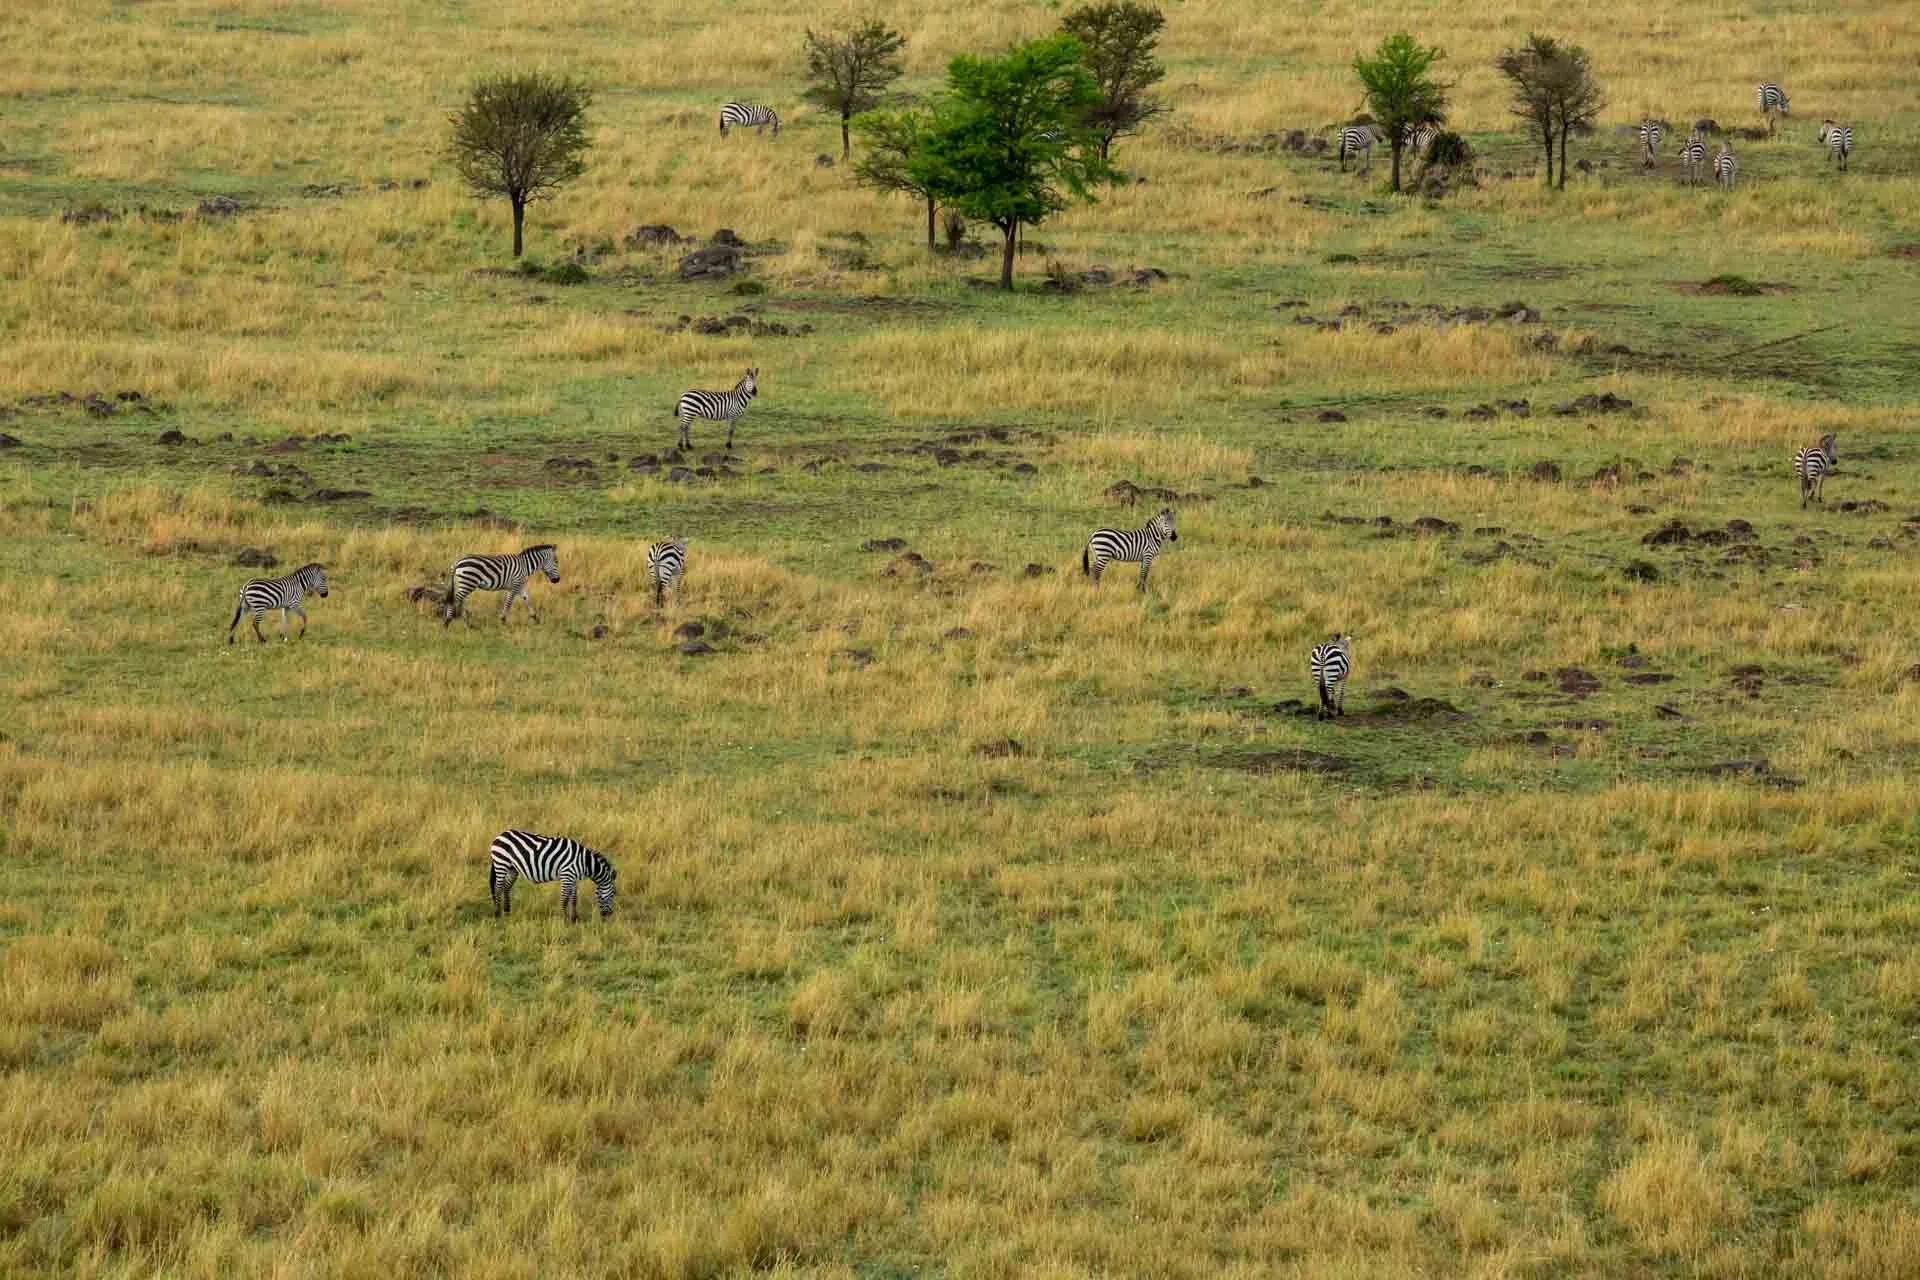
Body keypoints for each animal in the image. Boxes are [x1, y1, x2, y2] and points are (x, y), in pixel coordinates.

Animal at [488, 829, 617, 923]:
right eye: (614, 894)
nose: (609, 916)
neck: (584, 862)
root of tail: (501, 835)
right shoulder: (567, 875)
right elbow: (564, 899)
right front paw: (565, 920)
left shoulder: (573, 878)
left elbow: (574, 899)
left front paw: (574, 918)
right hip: (501, 863)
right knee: (498, 888)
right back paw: (498, 914)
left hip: (512, 868)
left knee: (506, 887)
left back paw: (507, 912)